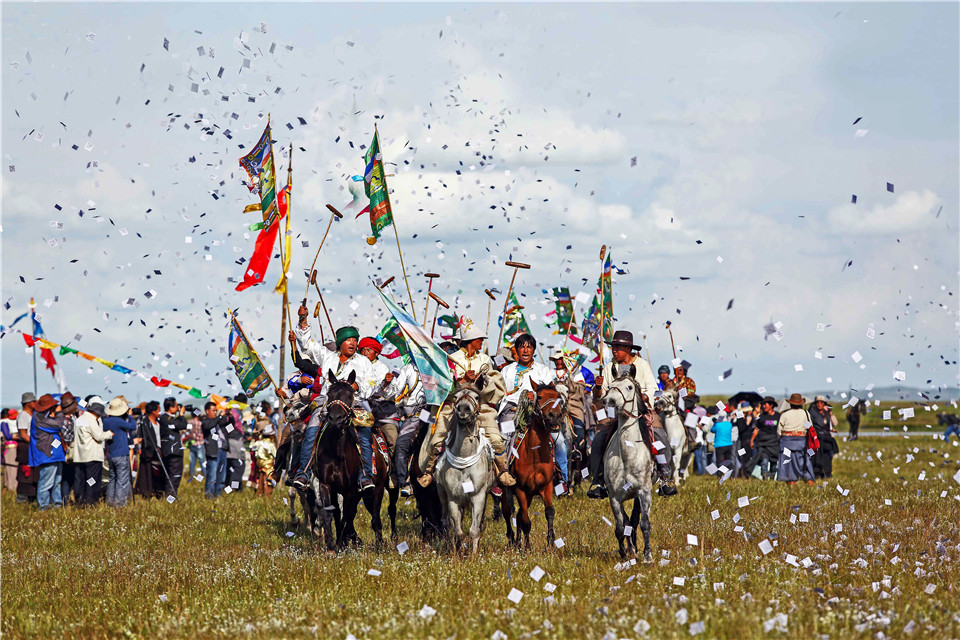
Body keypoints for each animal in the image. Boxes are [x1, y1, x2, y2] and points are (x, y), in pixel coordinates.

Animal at [436, 378, 496, 552]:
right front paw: (459, 551)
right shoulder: (453, 499)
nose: (463, 409)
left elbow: (474, 530)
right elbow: (458, 530)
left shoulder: (478, 496)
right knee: (447, 523)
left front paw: (474, 554)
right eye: (456, 397)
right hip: (443, 496)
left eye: (476, 397)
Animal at [502, 380, 564, 552]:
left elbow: (549, 512)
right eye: (540, 397)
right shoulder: (520, 489)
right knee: (508, 512)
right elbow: (525, 520)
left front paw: (550, 543)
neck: (534, 455)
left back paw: (517, 542)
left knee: (517, 516)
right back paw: (512, 540)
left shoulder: (546, 486)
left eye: (558, 396)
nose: (555, 416)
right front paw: (528, 548)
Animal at [604, 362, 656, 564]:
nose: (609, 401)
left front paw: (648, 556)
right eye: (610, 387)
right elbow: (620, 526)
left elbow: (644, 523)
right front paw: (625, 552)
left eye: (629, 387)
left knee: (635, 520)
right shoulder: (614, 498)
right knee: (627, 522)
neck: (628, 456)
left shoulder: (644, 492)